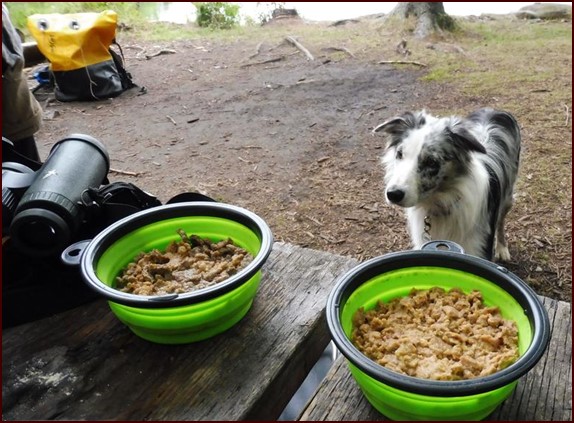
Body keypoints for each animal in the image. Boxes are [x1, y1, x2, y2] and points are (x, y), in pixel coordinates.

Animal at [376, 108, 524, 262]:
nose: (393, 194)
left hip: (507, 198)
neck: (442, 202)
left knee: (501, 221)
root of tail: (493, 110)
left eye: (431, 162)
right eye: (399, 154)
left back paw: (502, 248)